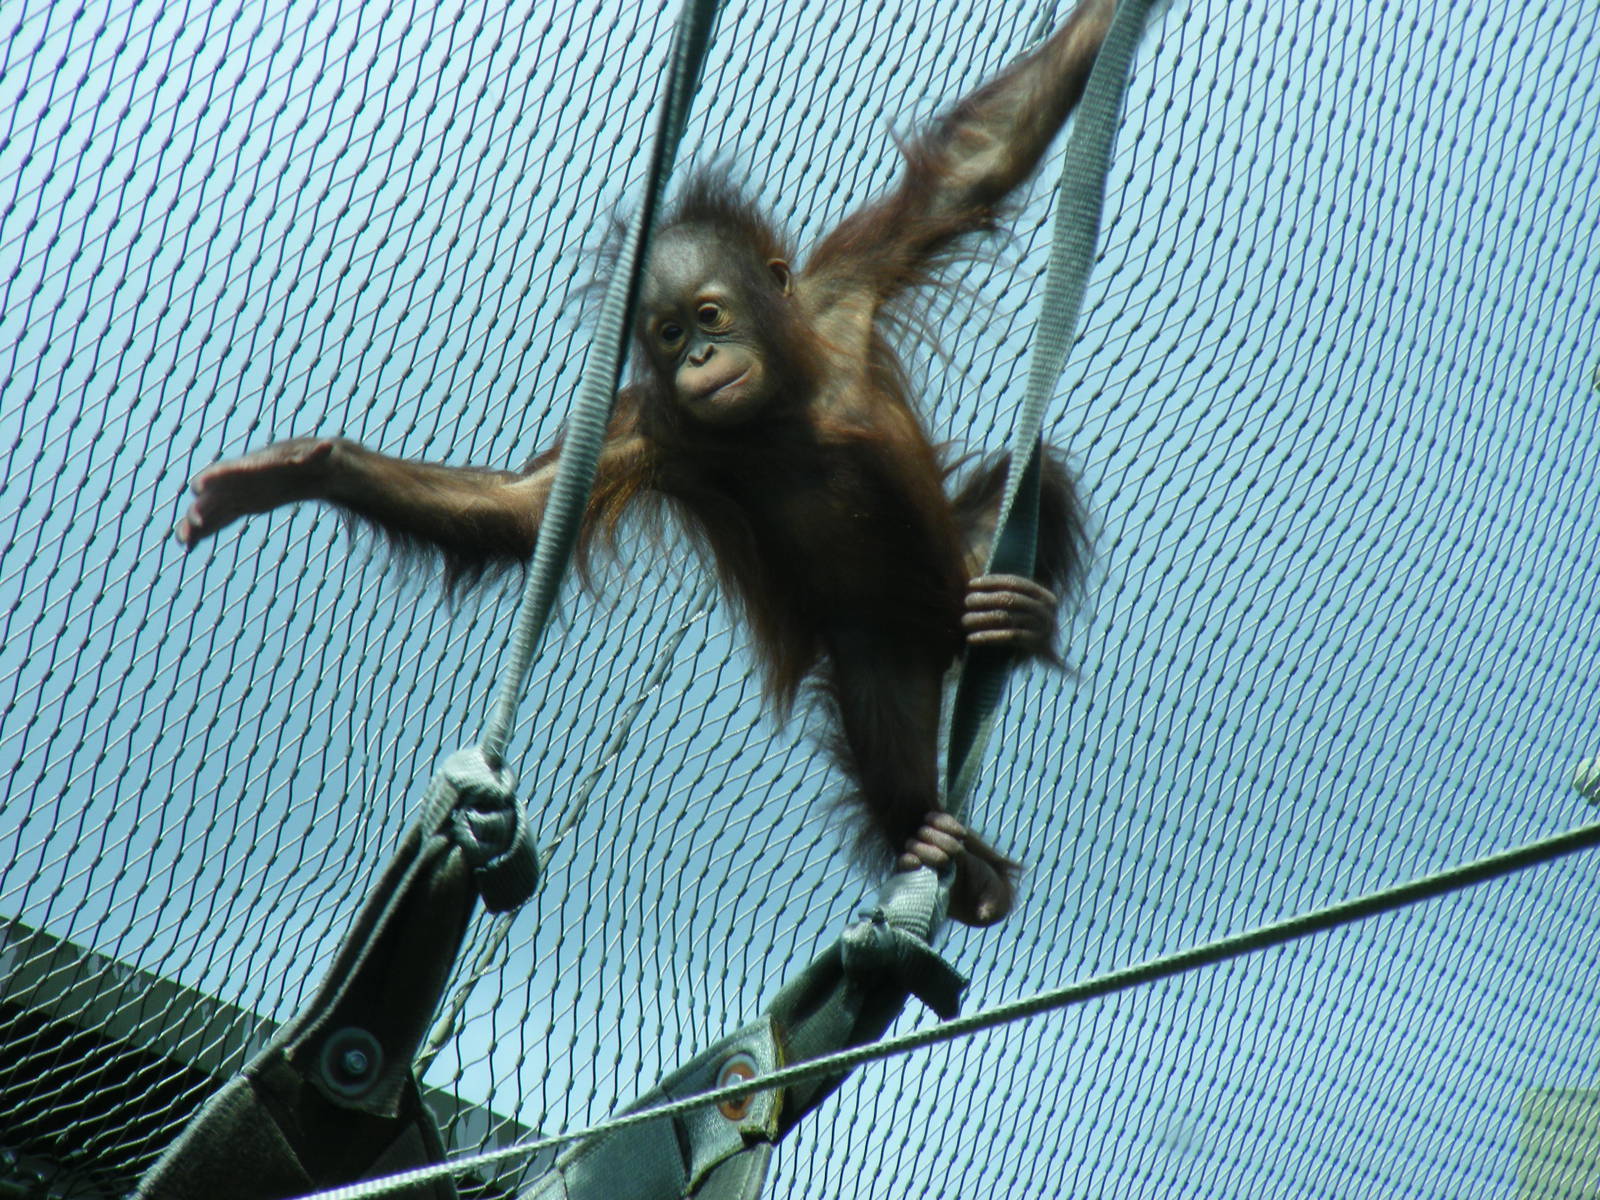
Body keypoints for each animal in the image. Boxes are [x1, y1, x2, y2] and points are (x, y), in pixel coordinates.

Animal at [177, 0, 1112, 926]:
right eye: (665, 332)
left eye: (709, 314)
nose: (699, 357)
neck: (782, 408)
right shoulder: (656, 433)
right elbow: (523, 509)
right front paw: (302, 469)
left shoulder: (845, 287)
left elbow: (972, 166)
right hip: (881, 654)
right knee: (892, 744)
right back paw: (941, 847)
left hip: (958, 563)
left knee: (1037, 486)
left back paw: (1016, 616)